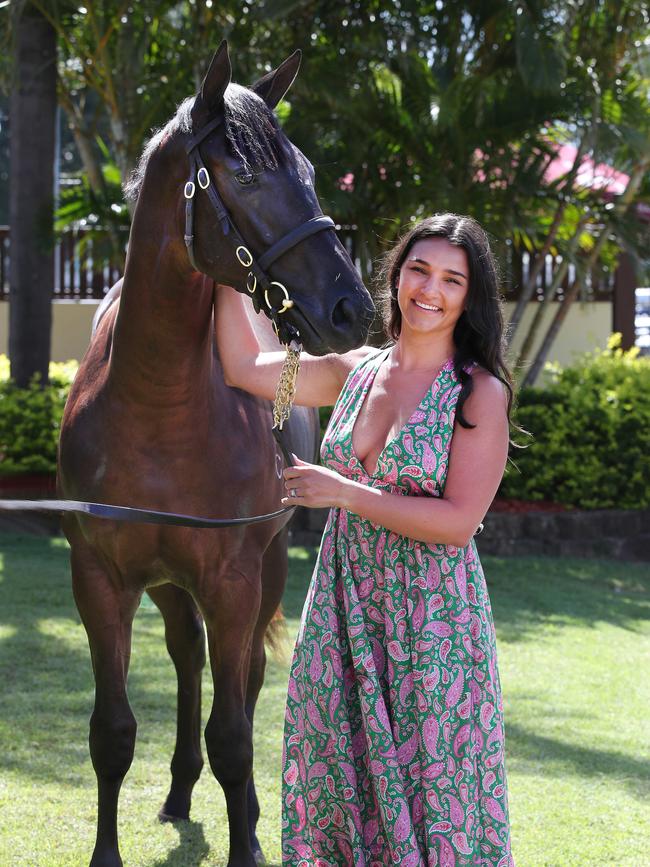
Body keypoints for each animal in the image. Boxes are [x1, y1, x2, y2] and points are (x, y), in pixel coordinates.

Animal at [59, 44, 374, 867]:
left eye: (309, 171)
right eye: (250, 174)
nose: (352, 308)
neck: (157, 404)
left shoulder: (233, 579)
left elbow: (234, 733)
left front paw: (247, 840)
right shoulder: (99, 579)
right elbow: (112, 733)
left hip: (260, 574)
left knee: (245, 676)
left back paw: (249, 813)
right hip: (169, 583)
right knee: (186, 654)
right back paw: (176, 789)